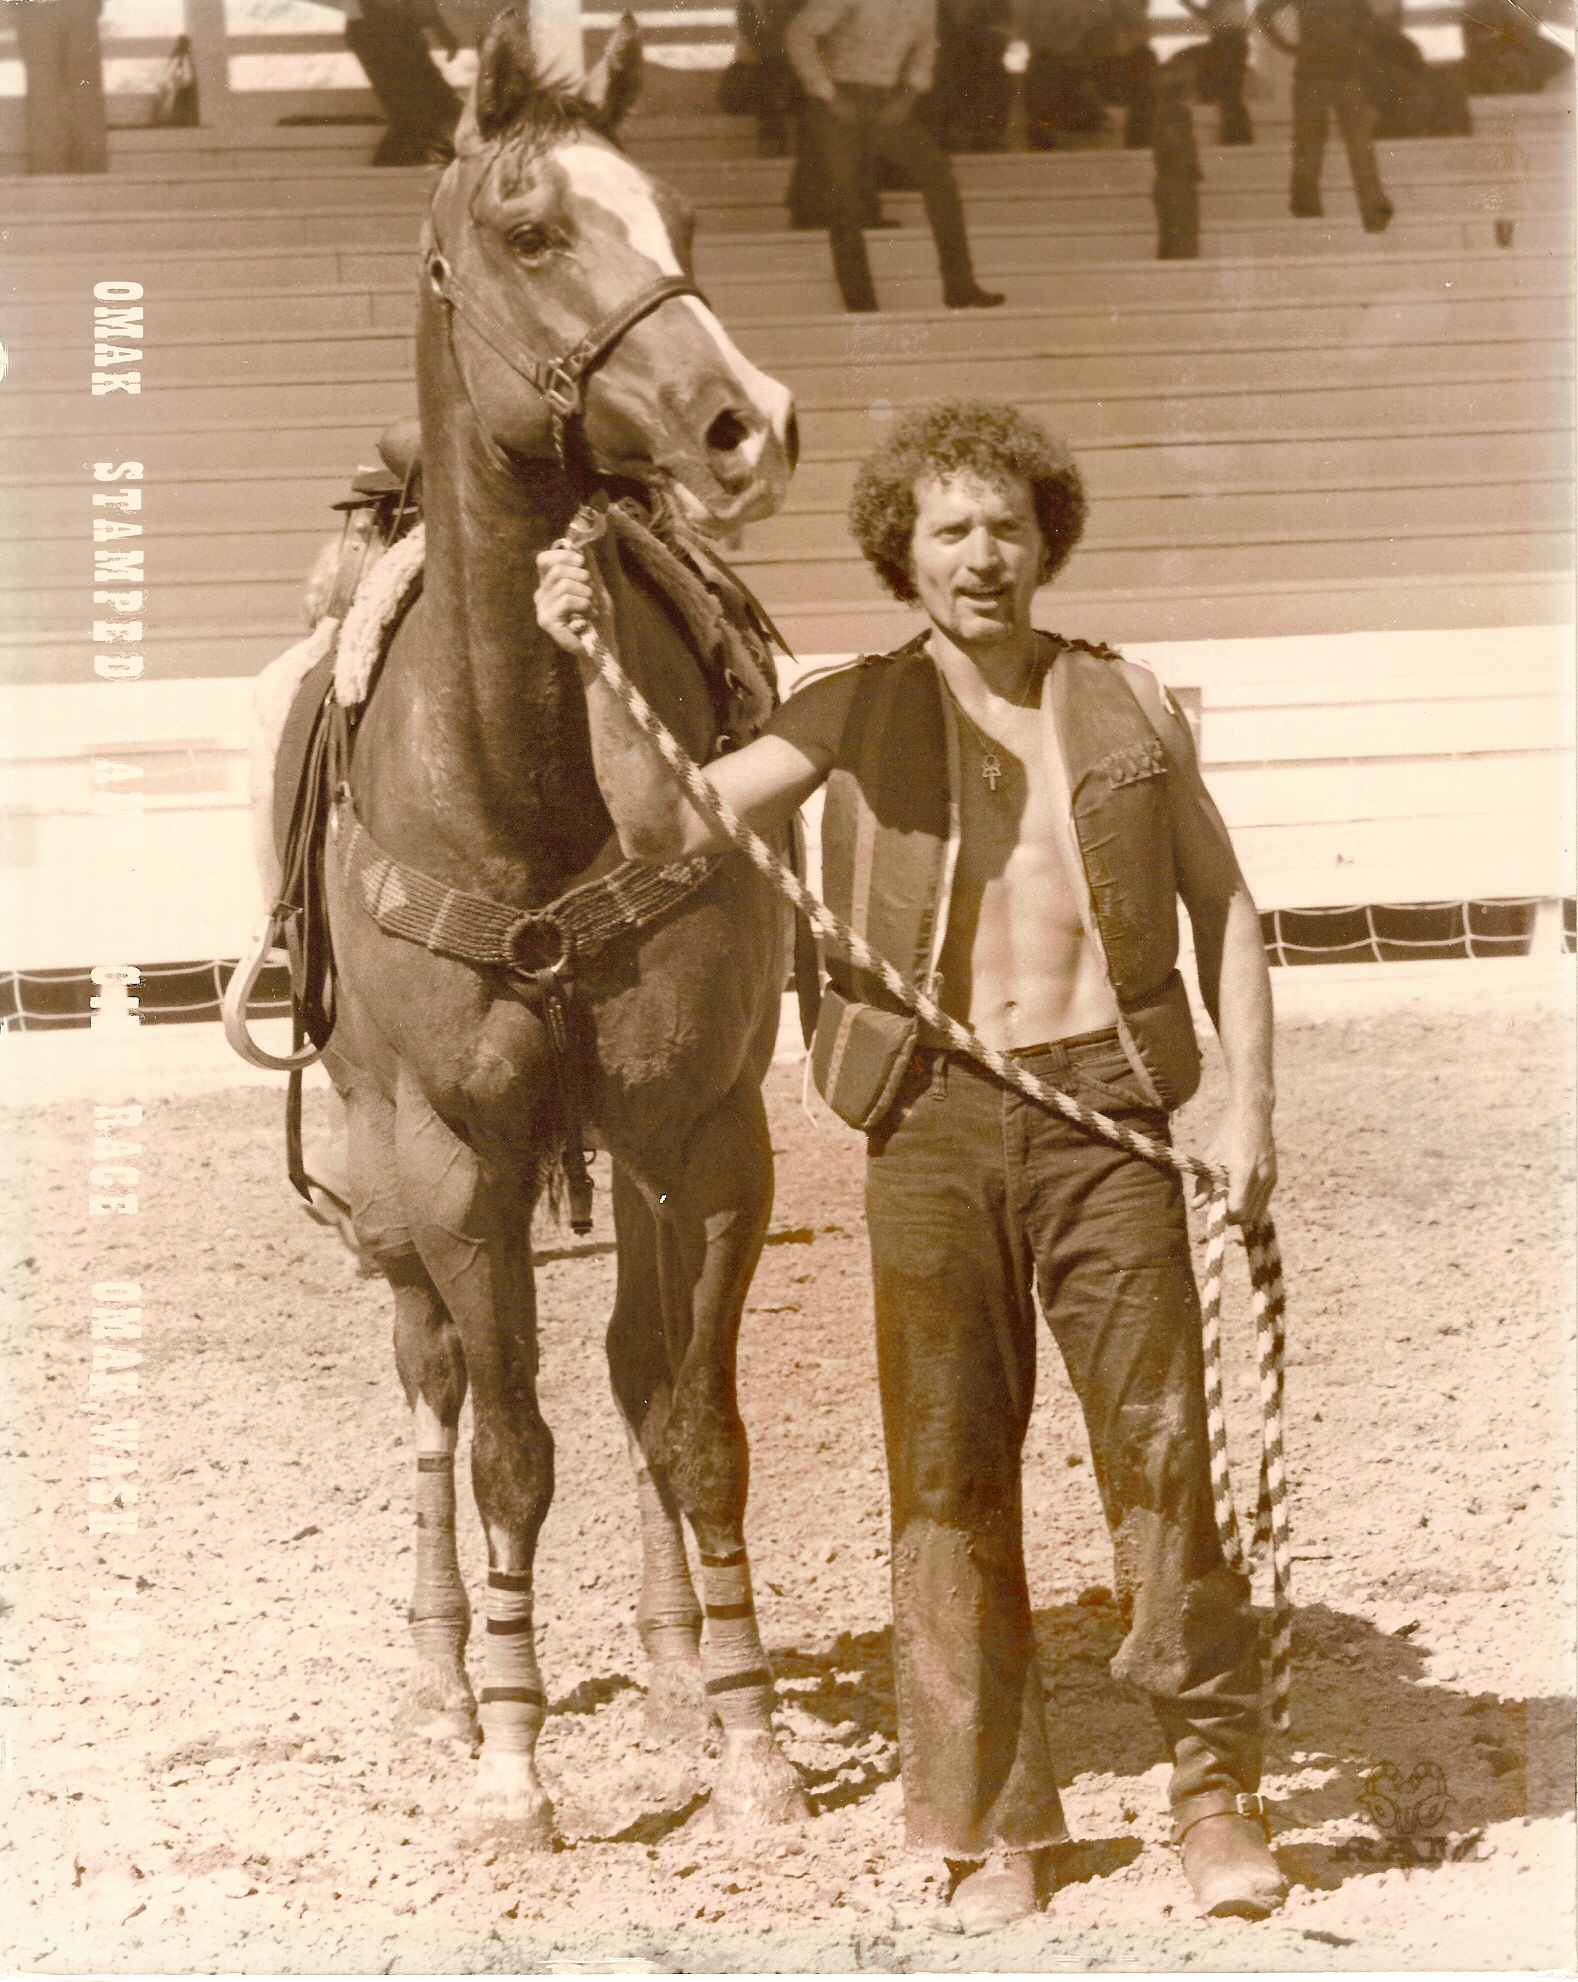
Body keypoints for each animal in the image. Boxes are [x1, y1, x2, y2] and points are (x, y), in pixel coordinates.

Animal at [250, 7, 808, 1847]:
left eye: (683, 222)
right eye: (531, 232)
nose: (744, 424)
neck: (526, 778)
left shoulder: (700, 1129)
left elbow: (690, 1418)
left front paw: (744, 1723)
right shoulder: (452, 1157)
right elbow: (508, 1445)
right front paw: (510, 1748)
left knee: (634, 1364)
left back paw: (669, 1651)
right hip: (381, 1164)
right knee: (432, 1379)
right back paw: (446, 1670)